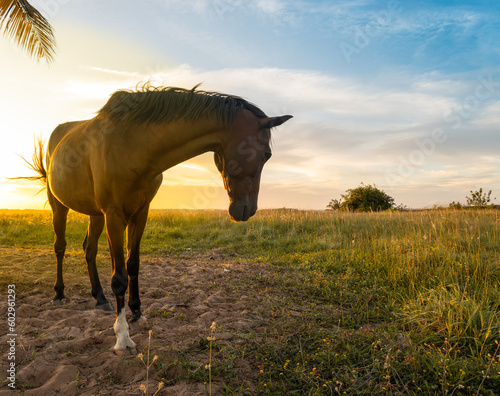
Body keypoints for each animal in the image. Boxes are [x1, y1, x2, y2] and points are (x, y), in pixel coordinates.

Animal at [26, 83, 292, 352]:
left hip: (95, 215)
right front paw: (122, 336)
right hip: (60, 207)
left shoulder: (140, 214)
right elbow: (119, 277)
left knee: (89, 250)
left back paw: (99, 298)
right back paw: (59, 294)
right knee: (60, 247)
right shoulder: (115, 216)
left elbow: (133, 265)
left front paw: (137, 312)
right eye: (267, 154)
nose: (247, 209)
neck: (132, 145)